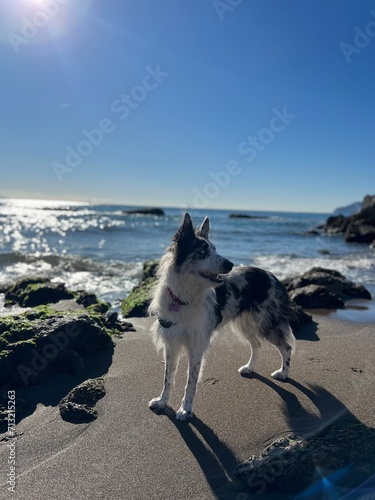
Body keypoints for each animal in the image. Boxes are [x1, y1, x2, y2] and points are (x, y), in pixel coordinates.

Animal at [148, 213, 296, 420]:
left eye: (215, 249)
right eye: (202, 251)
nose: (230, 264)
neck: (184, 297)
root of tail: (270, 274)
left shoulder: (196, 347)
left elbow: (190, 382)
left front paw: (185, 409)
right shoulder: (171, 344)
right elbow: (167, 379)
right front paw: (162, 402)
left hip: (266, 322)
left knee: (286, 347)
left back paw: (283, 373)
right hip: (244, 324)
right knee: (257, 344)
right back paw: (249, 368)